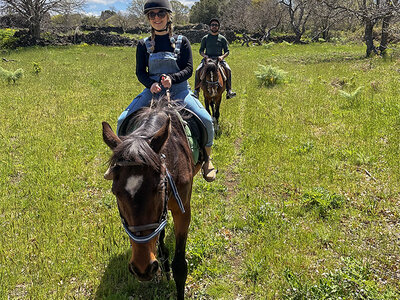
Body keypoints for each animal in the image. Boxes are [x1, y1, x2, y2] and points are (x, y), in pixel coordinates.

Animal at [101, 101, 202, 300]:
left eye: (159, 188)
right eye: (115, 192)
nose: (142, 268)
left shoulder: (182, 211)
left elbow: (180, 267)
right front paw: (163, 262)